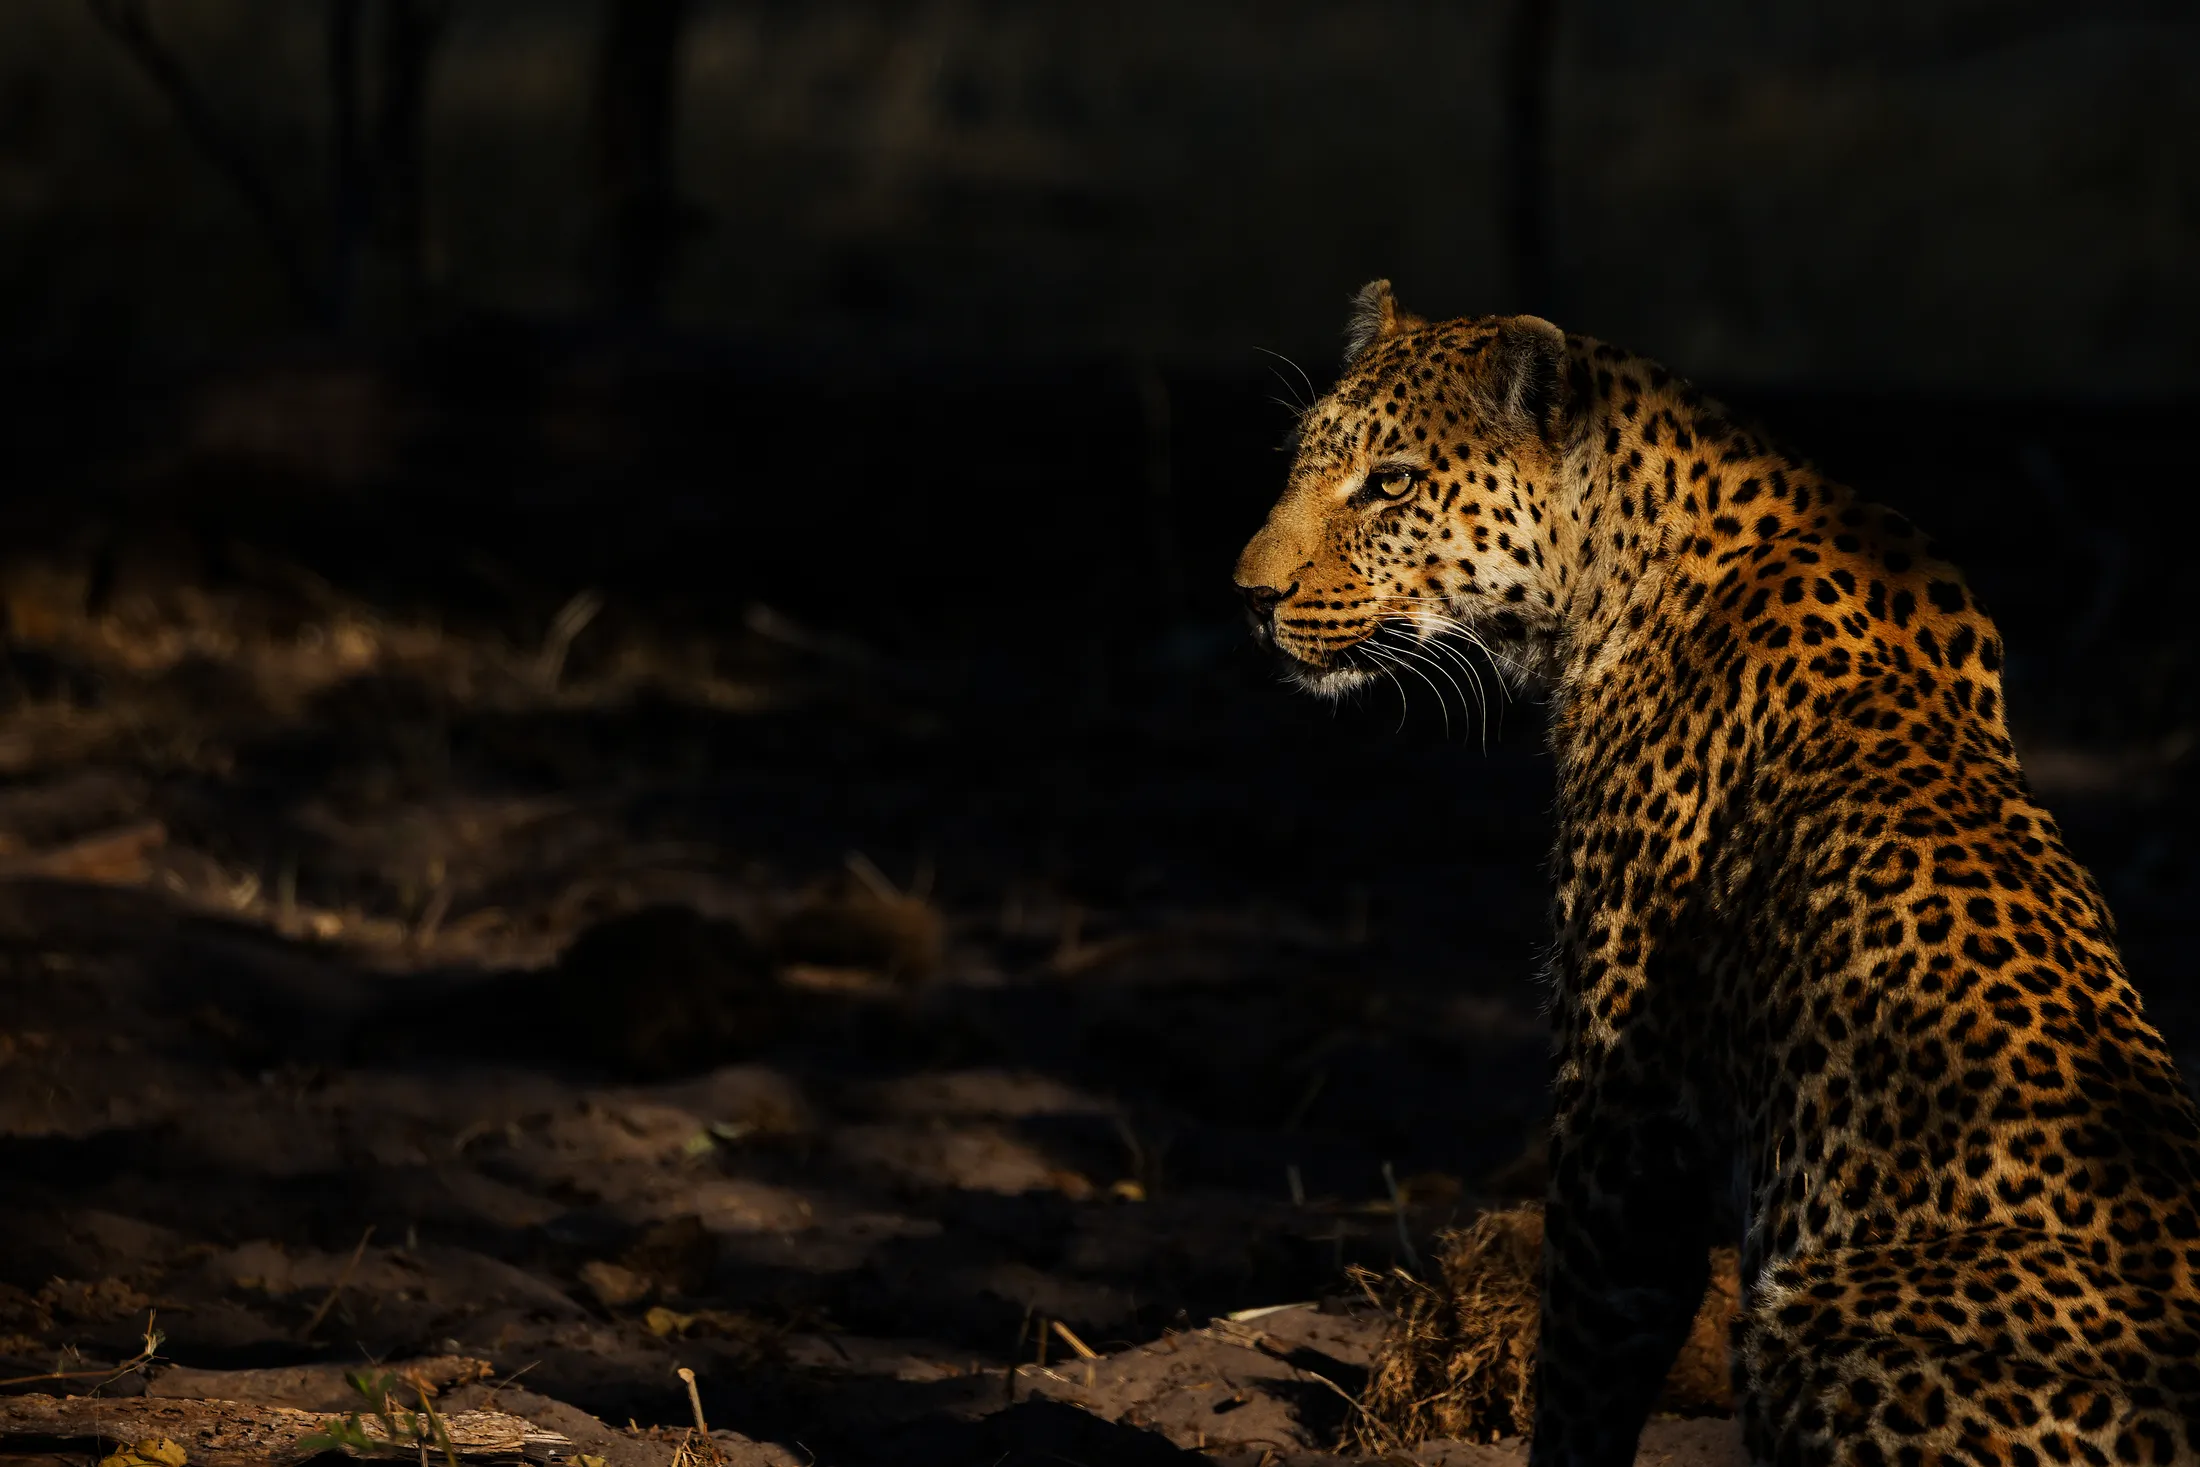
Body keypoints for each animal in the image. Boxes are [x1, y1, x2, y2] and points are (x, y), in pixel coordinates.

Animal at [1233, 282, 2200, 1466]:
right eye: (1301, 462)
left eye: (1393, 483)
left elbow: (1582, 1360)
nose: (1247, 595)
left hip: (1810, 1304)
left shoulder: (1622, 1110)